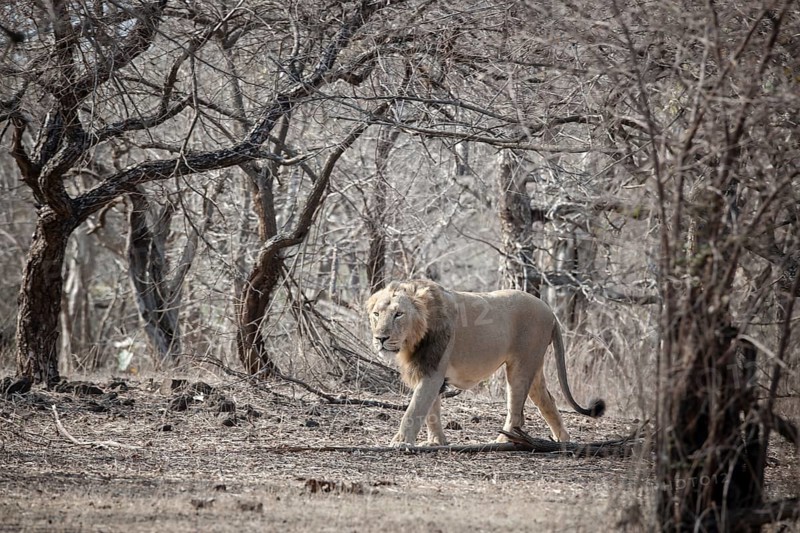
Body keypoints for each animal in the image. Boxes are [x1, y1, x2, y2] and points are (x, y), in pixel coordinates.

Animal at [366, 279, 605, 446]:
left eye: (398, 314)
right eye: (376, 314)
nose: (380, 338)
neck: (412, 341)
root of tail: (551, 313)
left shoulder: (433, 371)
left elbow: (415, 409)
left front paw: (400, 442)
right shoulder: (427, 368)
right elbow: (431, 410)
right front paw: (436, 442)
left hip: (520, 366)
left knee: (516, 411)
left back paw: (502, 441)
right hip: (535, 369)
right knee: (547, 401)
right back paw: (563, 441)